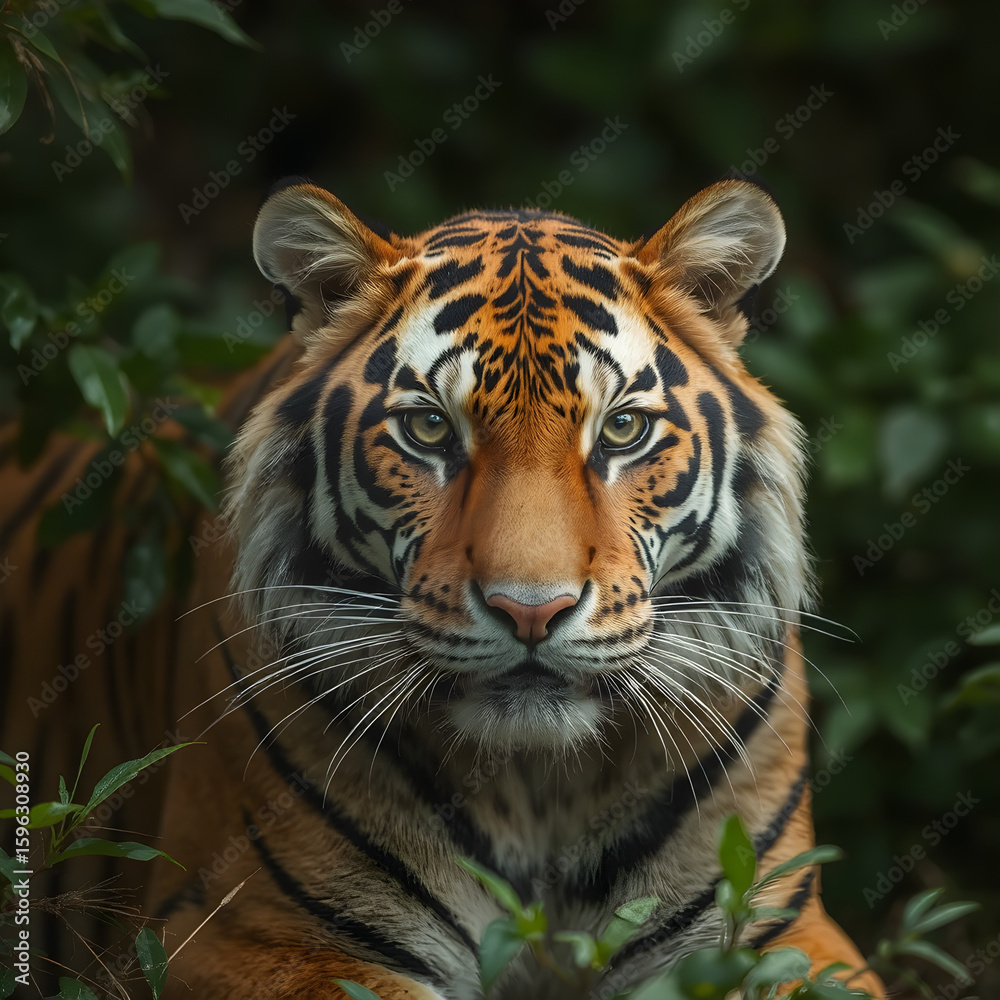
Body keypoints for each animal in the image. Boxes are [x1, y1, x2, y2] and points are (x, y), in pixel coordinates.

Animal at [0, 178, 885, 1000]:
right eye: (428, 429)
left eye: (623, 429)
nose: (532, 610)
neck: (541, 787)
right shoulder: (238, 929)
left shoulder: (778, 926)